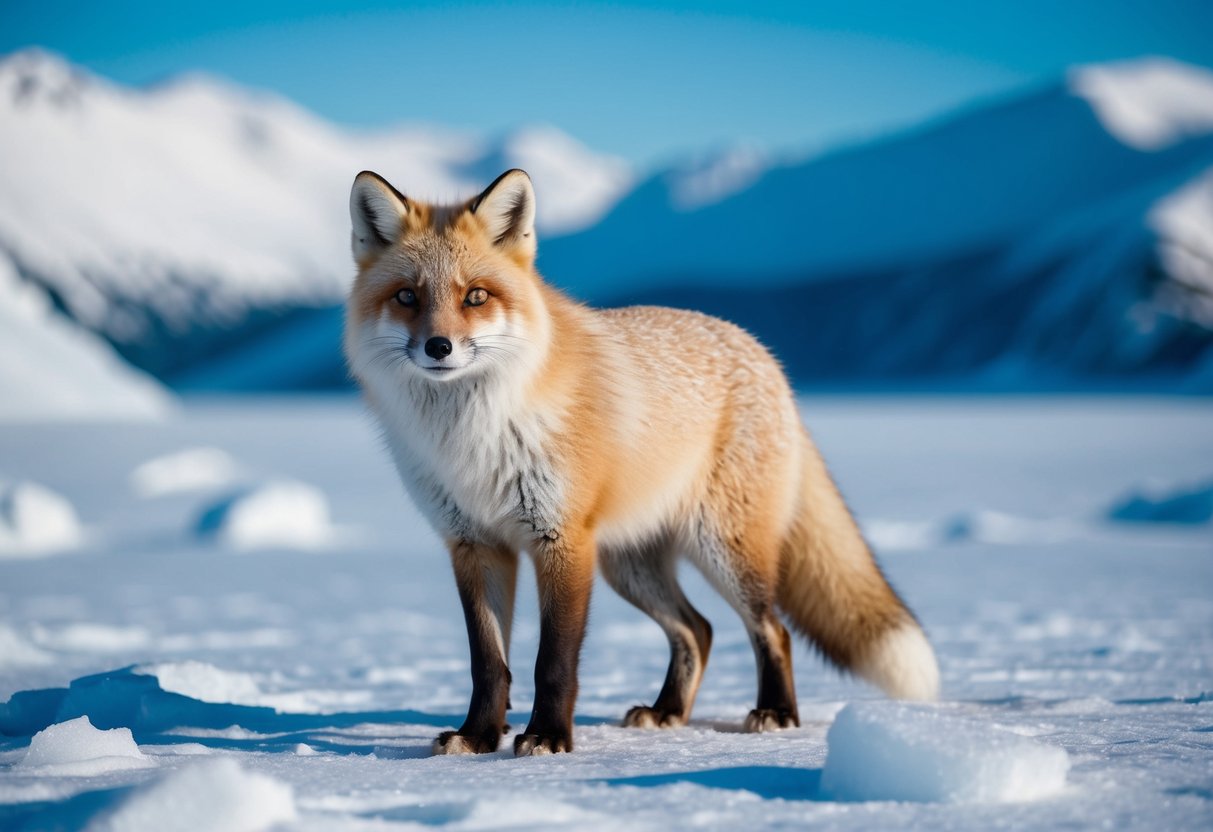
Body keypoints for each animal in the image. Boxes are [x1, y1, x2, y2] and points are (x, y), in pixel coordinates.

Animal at [343, 168, 939, 757]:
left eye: (476, 296)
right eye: (406, 296)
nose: (439, 347)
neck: (473, 439)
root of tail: (762, 353)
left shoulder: (562, 540)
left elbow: (552, 660)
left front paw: (548, 737)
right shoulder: (474, 544)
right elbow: (488, 663)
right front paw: (479, 737)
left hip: (724, 550)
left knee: (772, 629)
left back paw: (776, 713)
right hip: (630, 565)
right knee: (698, 629)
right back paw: (668, 711)